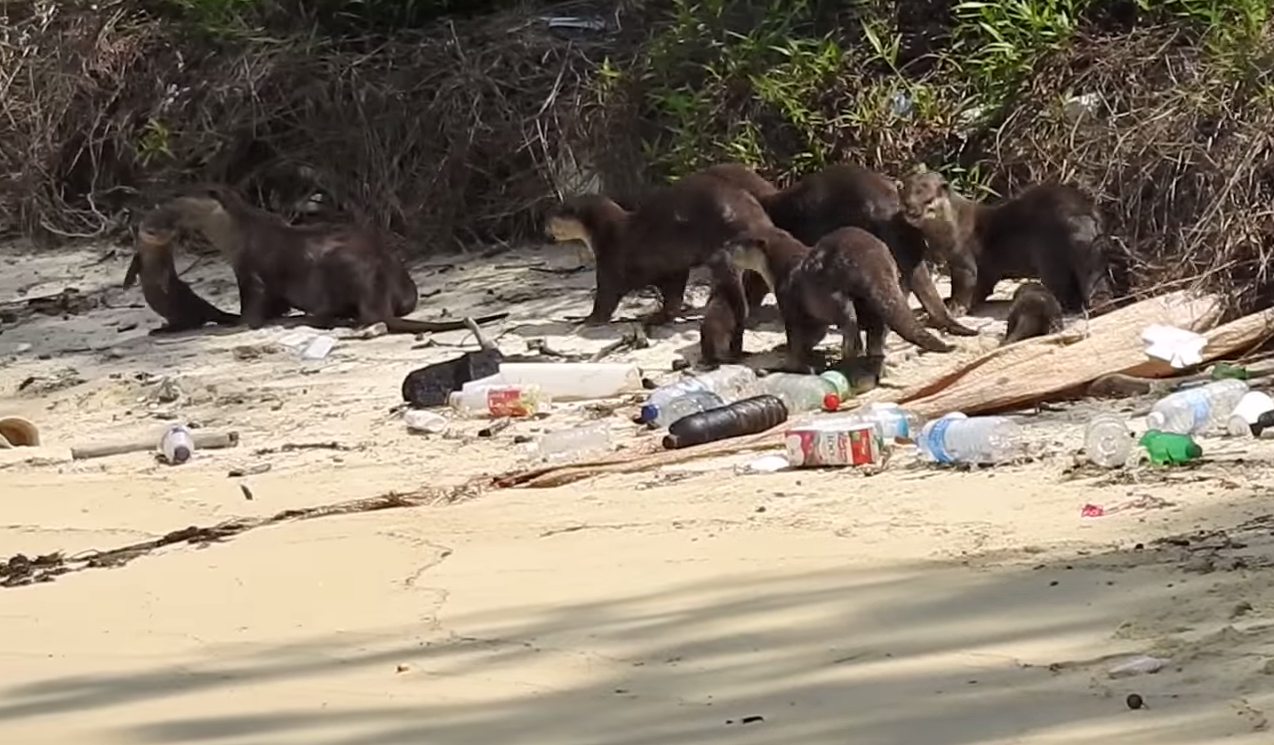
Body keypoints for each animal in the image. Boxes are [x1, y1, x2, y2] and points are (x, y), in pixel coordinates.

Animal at [122, 206, 239, 334]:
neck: (152, 257)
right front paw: (127, 284)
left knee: (191, 322)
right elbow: (132, 267)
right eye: (148, 223)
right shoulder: (139, 256)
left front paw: (165, 286)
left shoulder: (166, 261)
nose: (152, 231)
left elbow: (165, 274)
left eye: (165, 223)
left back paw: (163, 329)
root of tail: (204, 305)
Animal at [162, 186, 507, 333]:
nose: (163, 203)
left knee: (332, 312)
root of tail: (378, 286)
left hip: (331, 266)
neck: (241, 232)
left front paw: (237, 323)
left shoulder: (250, 272)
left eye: (180, 196)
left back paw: (310, 319)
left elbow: (254, 305)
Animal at [544, 169, 775, 327]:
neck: (606, 233)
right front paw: (659, 316)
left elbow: (606, 296)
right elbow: (673, 295)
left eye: (553, 216)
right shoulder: (672, 267)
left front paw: (587, 319)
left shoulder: (611, 260)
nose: (544, 226)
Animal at [715, 225, 956, 385]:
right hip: (880, 296)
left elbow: (796, 340)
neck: (781, 267)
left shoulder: (787, 300)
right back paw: (875, 369)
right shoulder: (814, 319)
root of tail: (872, 263)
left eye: (734, 242)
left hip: (832, 292)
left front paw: (795, 365)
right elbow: (815, 334)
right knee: (876, 338)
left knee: (852, 331)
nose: (723, 247)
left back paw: (844, 366)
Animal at [898, 171, 1114, 317]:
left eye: (928, 200)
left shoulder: (962, 257)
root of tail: (1082, 213)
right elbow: (981, 288)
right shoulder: (985, 271)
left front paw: (954, 309)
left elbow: (966, 283)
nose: (912, 211)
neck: (954, 227)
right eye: (906, 201)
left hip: (1047, 253)